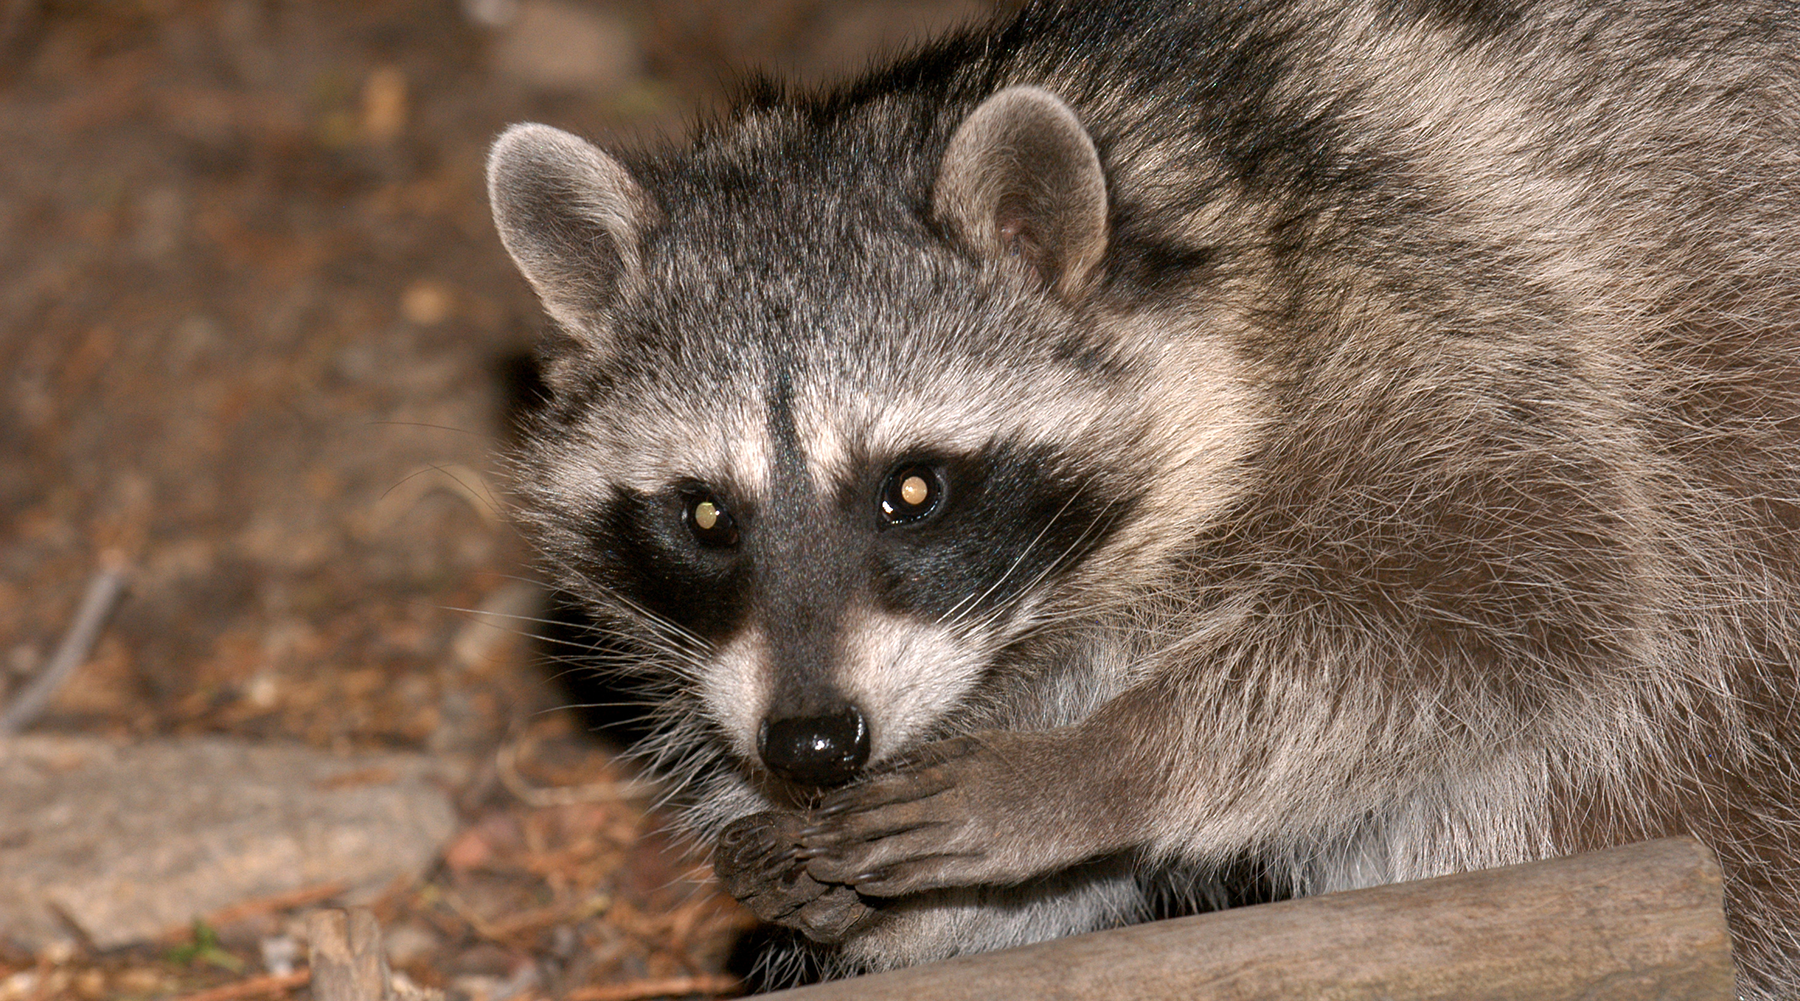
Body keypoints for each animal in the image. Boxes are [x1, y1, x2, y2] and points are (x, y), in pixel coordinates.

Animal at [486, 0, 1800, 986]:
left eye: (912, 490)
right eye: (707, 515)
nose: (811, 743)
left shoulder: (1442, 318)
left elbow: (1521, 591)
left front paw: (1098, 764)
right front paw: (877, 899)